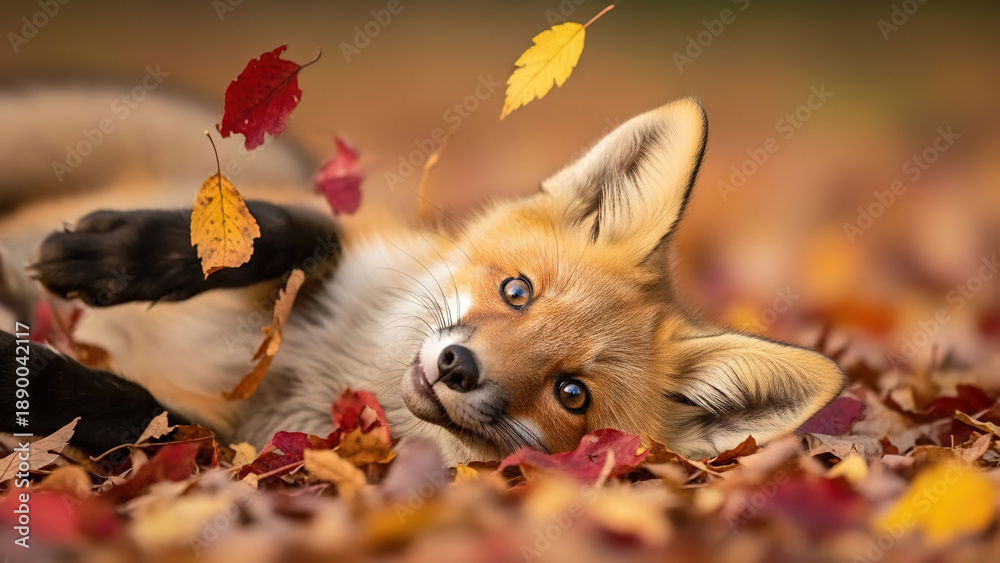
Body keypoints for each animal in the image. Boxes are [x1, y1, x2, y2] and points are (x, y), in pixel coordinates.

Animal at [0, 94, 846, 465]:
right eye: (516, 291)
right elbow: (292, 228)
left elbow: (135, 407)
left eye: (573, 393)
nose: (457, 366)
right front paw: (114, 255)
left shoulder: (238, 443)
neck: (331, 371)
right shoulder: (332, 252)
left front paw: (34, 375)